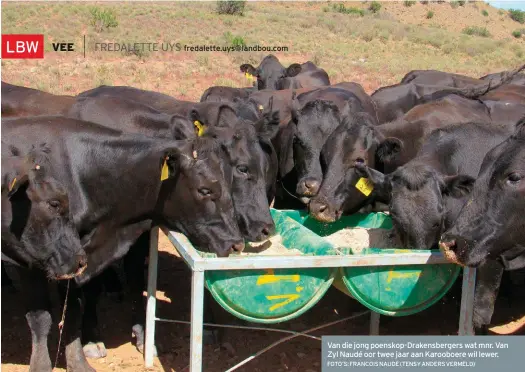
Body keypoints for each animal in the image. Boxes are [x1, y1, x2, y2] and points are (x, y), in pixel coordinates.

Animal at [2, 116, 242, 372]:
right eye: (204, 190)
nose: (236, 244)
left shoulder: (76, 260)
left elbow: (74, 310)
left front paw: (78, 362)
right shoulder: (31, 259)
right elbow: (40, 317)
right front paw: (42, 364)